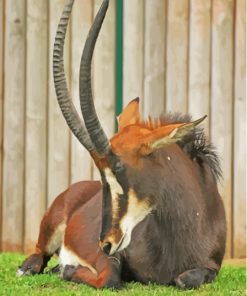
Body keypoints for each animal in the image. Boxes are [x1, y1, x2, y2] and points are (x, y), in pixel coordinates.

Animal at [17, 0, 226, 290]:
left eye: (119, 169)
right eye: (102, 173)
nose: (105, 242)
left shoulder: (212, 267)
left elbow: (186, 279)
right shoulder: (110, 258)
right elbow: (110, 278)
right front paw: (68, 268)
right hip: (50, 225)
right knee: (40, 253)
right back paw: (34, 267)